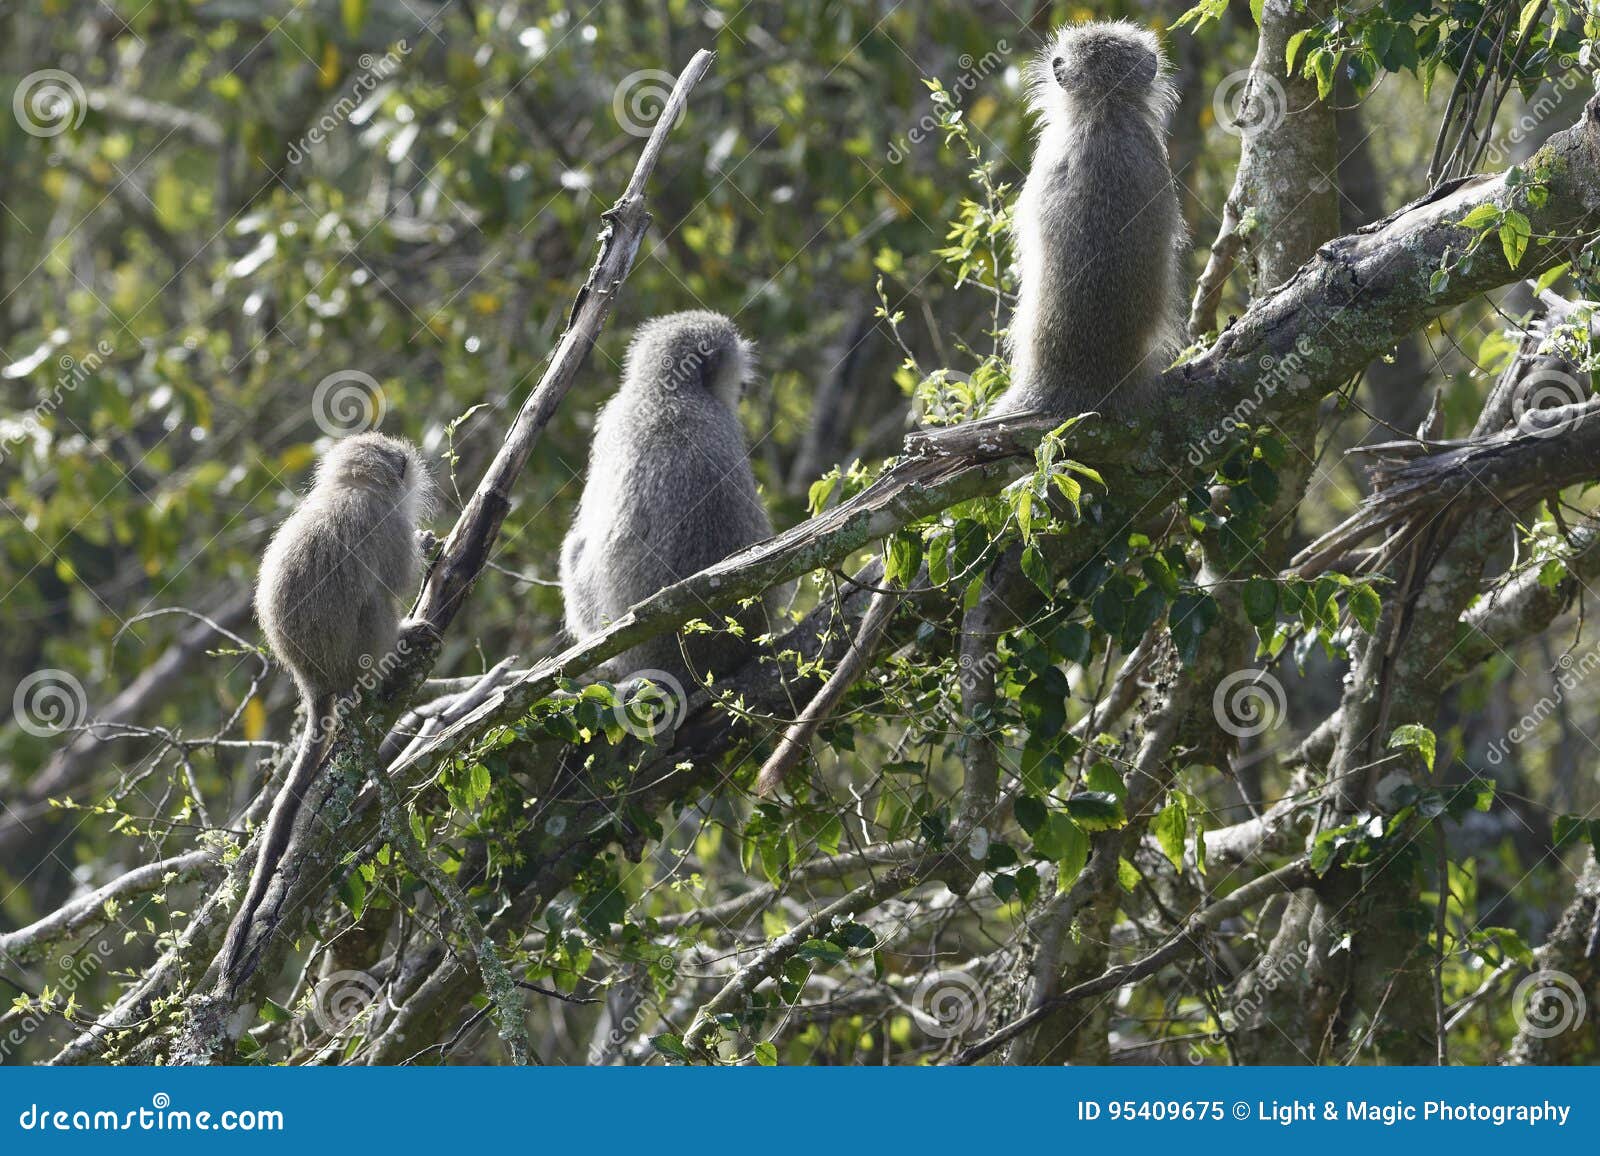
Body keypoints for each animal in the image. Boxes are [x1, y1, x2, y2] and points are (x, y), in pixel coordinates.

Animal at [220, 431, 431, 978]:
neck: (352, 485)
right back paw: (400, 640)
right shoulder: (388, 525)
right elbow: (398, 580)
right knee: (377, 601)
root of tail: (313, 680)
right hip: (362, 650)